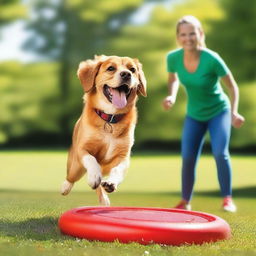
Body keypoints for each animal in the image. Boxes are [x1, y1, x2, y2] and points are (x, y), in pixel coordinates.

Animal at [60, 55, 147, 205]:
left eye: (132, 69)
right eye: (111, 68)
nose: (126, 74)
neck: (110, 119)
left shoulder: (123, 156)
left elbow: (117, 170)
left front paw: (111, 183)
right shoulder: (83, 149)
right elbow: (91, 159)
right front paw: (94, 176)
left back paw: (104, 199)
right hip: (76, 167)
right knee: (71, 176)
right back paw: (66, 187)